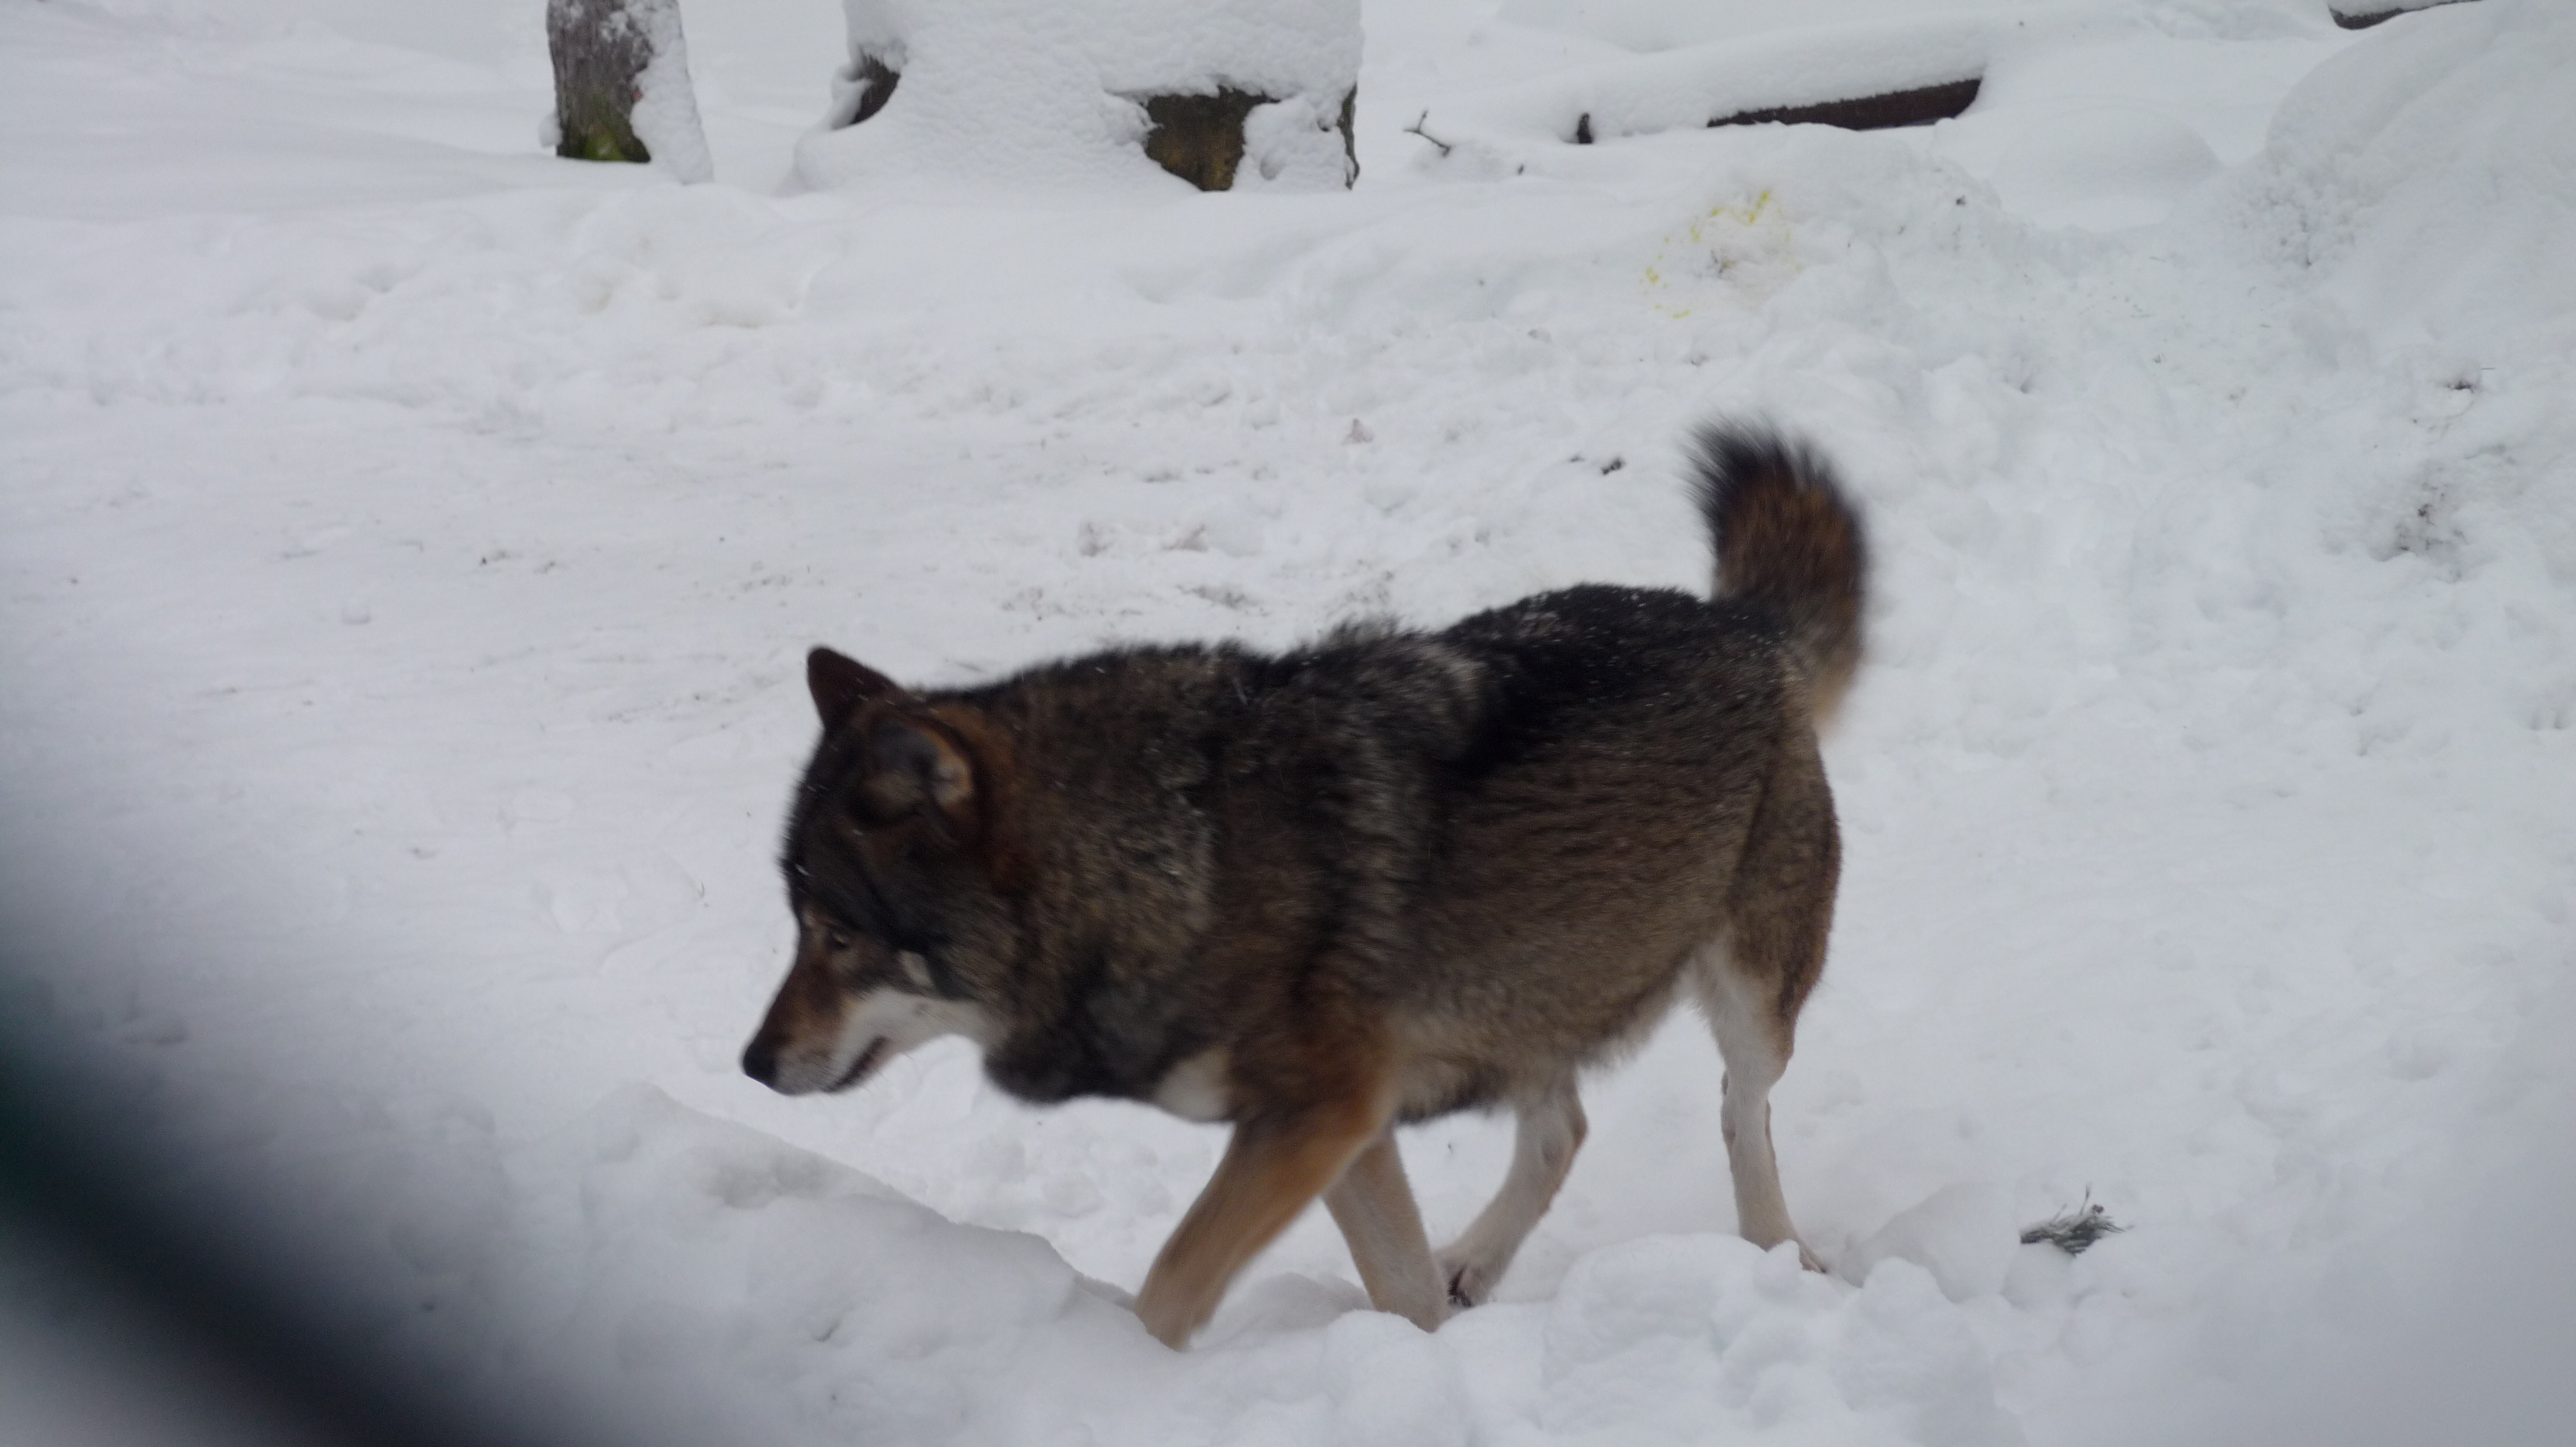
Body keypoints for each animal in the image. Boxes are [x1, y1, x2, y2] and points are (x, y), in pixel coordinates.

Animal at [742, 423, 1867, 1348]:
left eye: (836, 934)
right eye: (795, 925)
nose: (752, 1064)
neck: (1175, 863)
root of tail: (1745, 624)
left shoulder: (1320, 1118)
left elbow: (1172, 1284)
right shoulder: (1342, 1126)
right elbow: (1400, 1287)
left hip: (1750, 999)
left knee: (1742, 1111)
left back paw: (1779, 1256)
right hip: (1520, 997)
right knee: (1564, 1132)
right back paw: (1475, 1262)